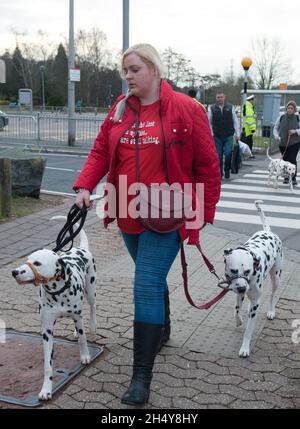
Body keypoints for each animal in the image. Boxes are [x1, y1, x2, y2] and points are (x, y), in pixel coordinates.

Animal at [11, 216, 96, 400]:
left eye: (37, 263)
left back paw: (92, 326)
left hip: (91, 291)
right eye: (27, 260)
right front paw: (46, 389)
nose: (14, 272)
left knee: (92, 308)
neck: (58, 292)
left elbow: (83, 339)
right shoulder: (47, 330)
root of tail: (81, 248)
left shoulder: (78, 316)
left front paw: (85, 356)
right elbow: (48, 365)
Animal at [223, 201, 284, 358]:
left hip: (276, 278)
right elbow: (237, 308)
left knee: (272, 295)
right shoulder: (238, 291)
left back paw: (271, 311)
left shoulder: (254, 299)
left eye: (247, 271)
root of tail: (268, 231)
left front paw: (245, 348)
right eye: (233, 271)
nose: (242, 288)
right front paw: (238, 319)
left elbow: (248, 331)